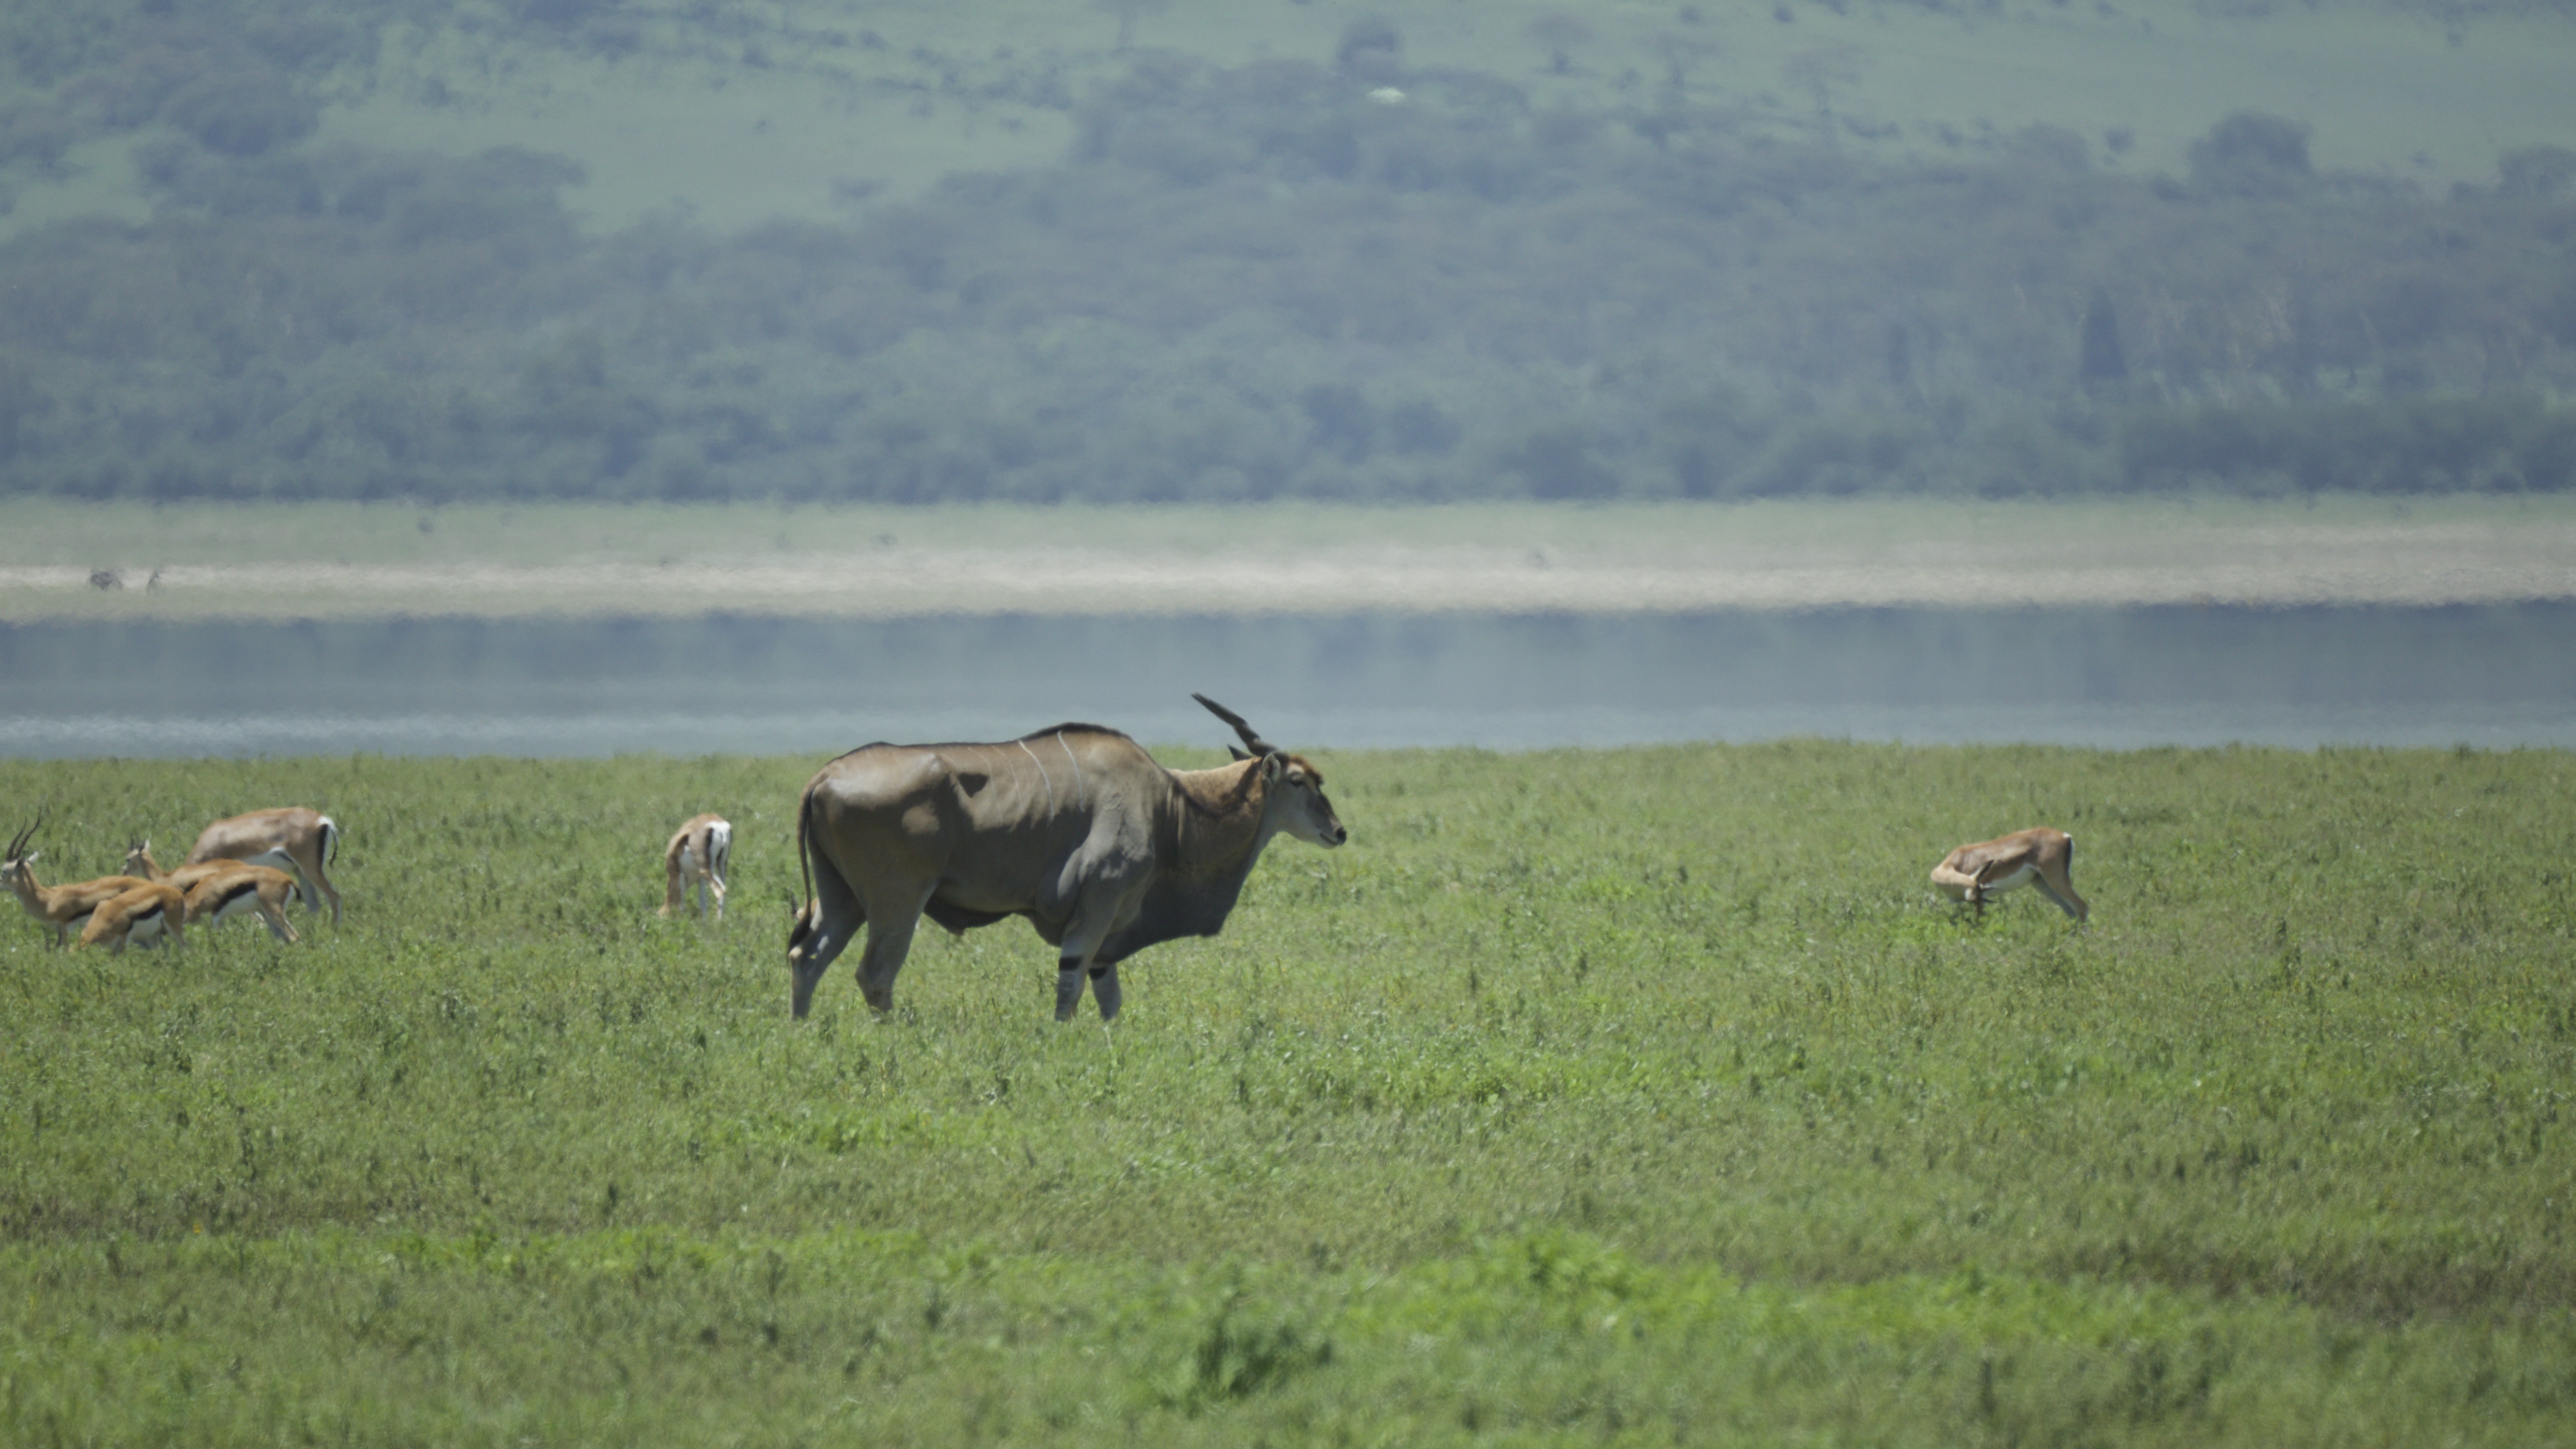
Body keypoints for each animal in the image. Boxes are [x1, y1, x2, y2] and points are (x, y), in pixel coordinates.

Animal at [661, 814, 733, 920]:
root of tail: (719, 826)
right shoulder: (700, 879)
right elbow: (702, 901)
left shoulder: (678, 874)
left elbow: (680, 902)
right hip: (722, 865)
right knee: (724, 888)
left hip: (706, 869)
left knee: (720, 891)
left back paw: (718, 923)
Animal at [788, 694, 1347, 1022]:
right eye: (1299, 781)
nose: (1339, 831)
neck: (1168, 802)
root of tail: (823, 777)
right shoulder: (1096, 908)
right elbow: (1070, 989)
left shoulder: (1108, 931)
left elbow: (1109, 1000)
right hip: (897, 903)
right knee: (874, 975)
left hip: (842, 900)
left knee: (807, 956)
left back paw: (803, 1031)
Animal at [1931, 826, 2088, 922]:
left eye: (1981, 894)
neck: (1956, 863)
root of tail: (2065, 836)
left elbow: (1980, 920)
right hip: (2041, 883)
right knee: (2071, 910)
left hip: (2055, 879)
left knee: (2082, 906)